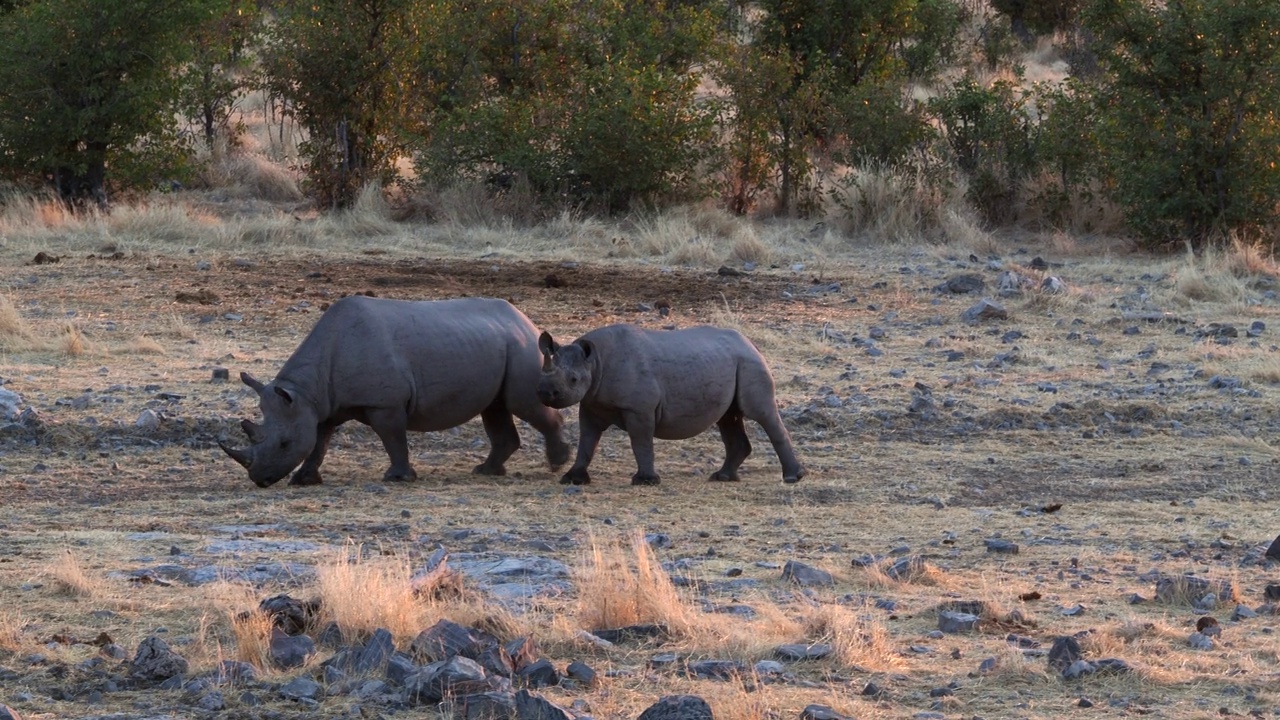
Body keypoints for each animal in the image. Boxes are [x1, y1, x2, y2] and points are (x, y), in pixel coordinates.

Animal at [221, 293, 570, 486]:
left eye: (283, 443)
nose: (259, 480)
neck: (304, 391)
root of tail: (526, 320)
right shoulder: (321, 406)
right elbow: (319, 442)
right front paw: (303, 480)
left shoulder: (384, 403)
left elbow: (392, 438)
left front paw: (398, 478)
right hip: (498, 343)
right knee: (495, 407)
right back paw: (485, 471)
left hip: (523, 347)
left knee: (522, 403)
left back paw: (557, 464)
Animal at [535, 324, 803, 481]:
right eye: (542, 371)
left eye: (573, 379)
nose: (546, 393)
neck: (595, 361)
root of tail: (751, 344)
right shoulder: (592, 404)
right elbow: (587, 442)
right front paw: (573, 478)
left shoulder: (639, 408)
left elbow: (641, 442)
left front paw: (645, 480)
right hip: (732, 361)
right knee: (728, 417)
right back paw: (722, 477)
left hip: (749, 363)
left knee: (760, 413)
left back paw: (792, 477)